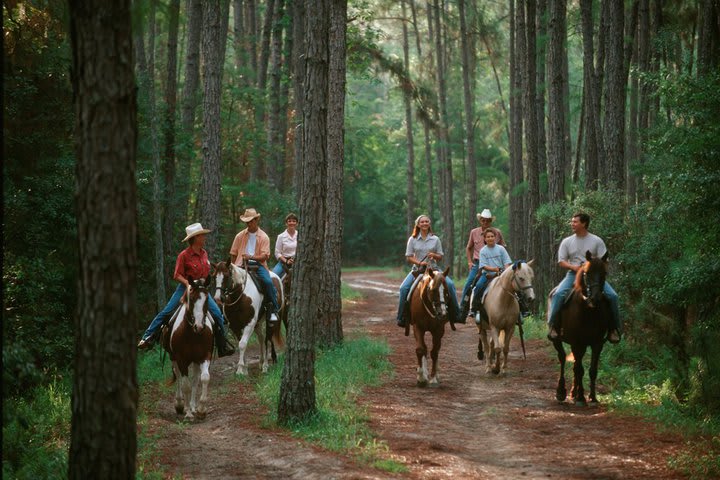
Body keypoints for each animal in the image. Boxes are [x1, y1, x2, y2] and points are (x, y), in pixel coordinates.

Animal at [159, 278, 212, 420]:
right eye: (192, 299)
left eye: (207, 299)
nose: (199, 326)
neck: (193, 334)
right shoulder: (181, 359)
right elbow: (185, 385)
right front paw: (187, 412)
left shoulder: (205, 356)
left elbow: (204, 378)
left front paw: (201, 409)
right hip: (173, 357)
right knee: (178, 377)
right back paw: (180, 405)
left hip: (195, 360)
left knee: (195, 380)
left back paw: (193, 407)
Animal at [548, 251, 612, 404]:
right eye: (587, 273)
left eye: (604, 273)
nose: (595, 298)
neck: (588, 311)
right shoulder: (577, 342)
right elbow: (579, 369)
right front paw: (581, 397)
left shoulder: (597, 343)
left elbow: (592, 370)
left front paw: (592, 397)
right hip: (557, 340)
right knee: (563, 358)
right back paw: (562, 392)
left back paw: (573, 392)